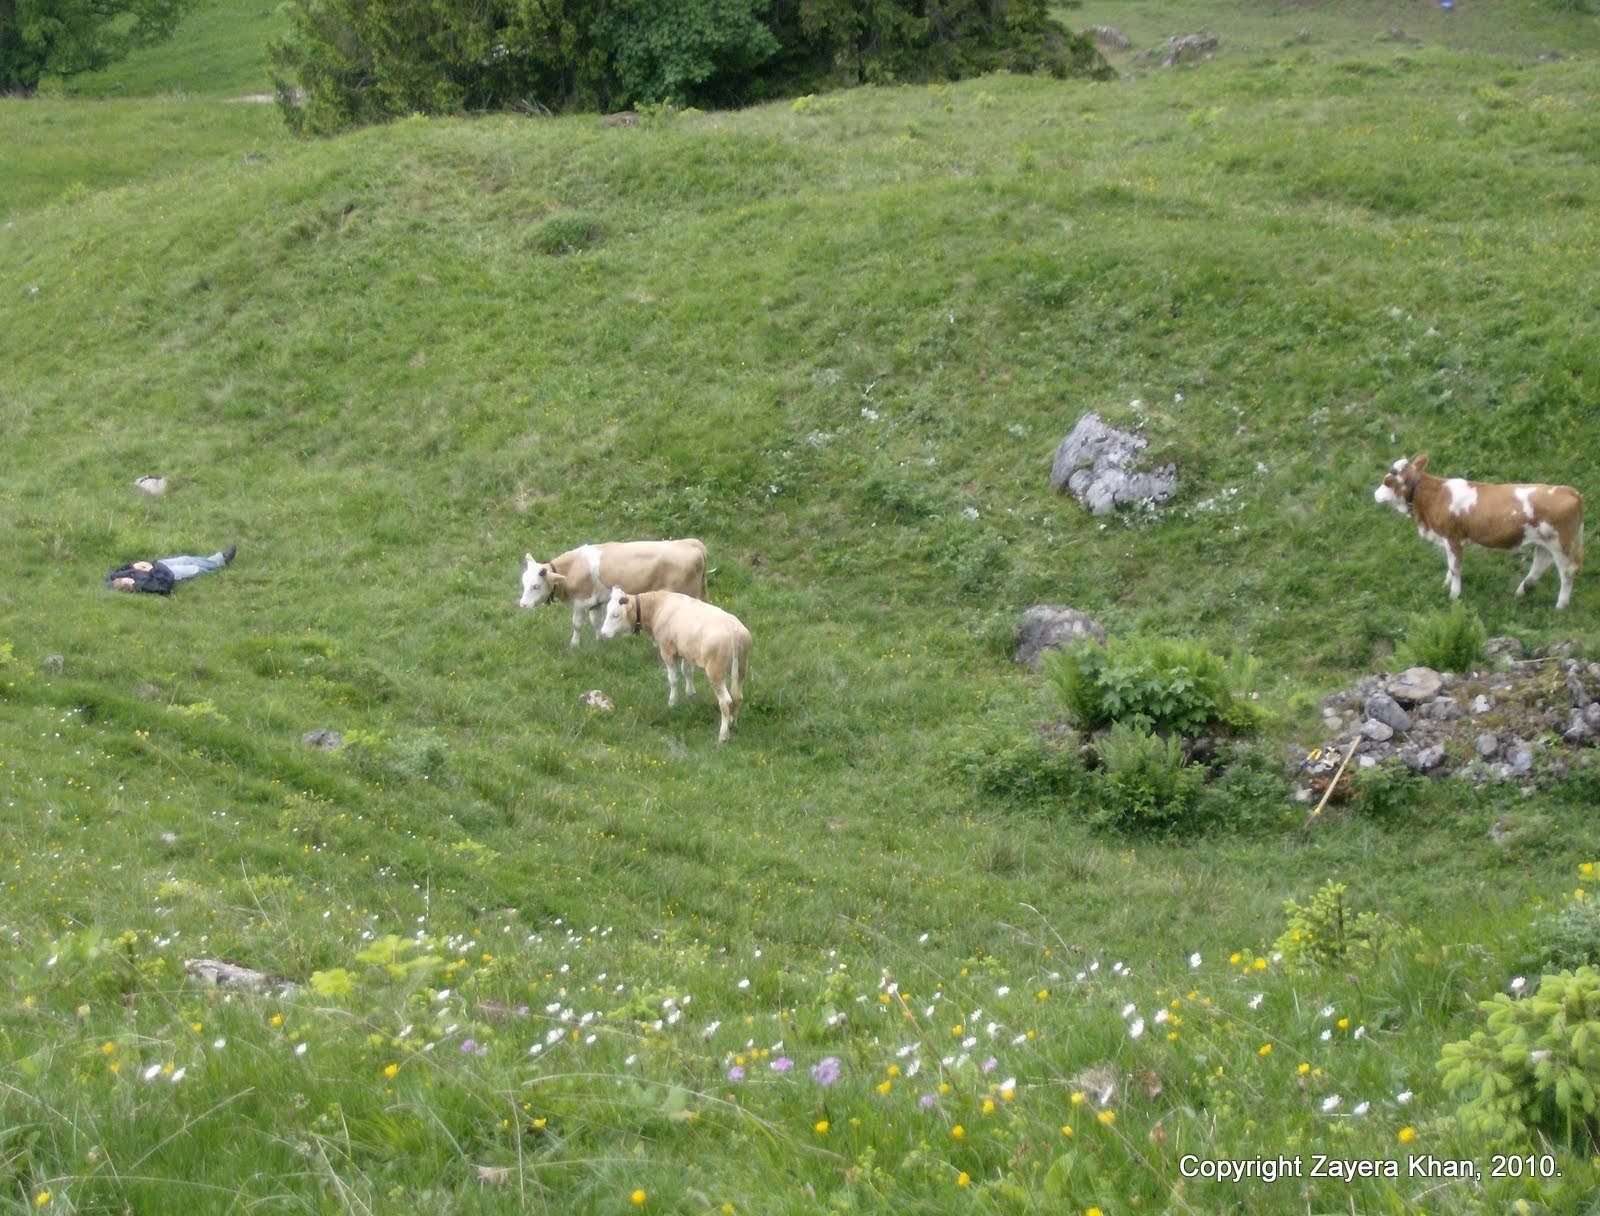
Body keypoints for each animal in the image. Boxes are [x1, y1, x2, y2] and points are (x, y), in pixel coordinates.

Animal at [519, 539, 707, 647]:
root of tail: (691, 543)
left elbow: (577, 624)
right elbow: (596, 621)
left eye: (535, 586)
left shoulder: (581, 602)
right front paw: (599, 639)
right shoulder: (594, 603)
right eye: (524, 583)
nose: (522, 605)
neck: (573, 567)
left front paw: (574, 645)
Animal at [598, 587, 751, 743]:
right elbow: (687, 671)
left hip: (715, 672)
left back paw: (723, 735)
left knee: (726, 701)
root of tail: (733, 631)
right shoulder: (686, 651)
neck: (658, 607)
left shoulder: (668, 651)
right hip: (741, 669)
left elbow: (673, 679)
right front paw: (691, 694)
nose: (603, 633)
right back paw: (732, 723)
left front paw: (672, 703)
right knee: (738, 697)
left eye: (615, 615)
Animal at [1374, 455, 1584, 609]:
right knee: (1540, 564)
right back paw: (1521, 592)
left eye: (1388, 481)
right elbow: (1451, 565)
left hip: (1561, 544)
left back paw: (1560, 606)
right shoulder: (1448, 539)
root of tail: (1571, 492)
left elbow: (1455, 567)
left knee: (1567, 572)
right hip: (1545, 542)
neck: (1434, 497)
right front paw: (1446, 585)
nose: (1374, 494)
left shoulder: (1452, 537)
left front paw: (1453, 596)